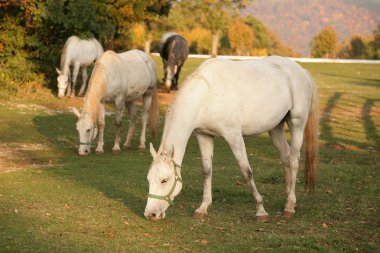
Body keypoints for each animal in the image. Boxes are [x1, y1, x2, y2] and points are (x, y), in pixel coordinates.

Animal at [145, 55, 318, 221]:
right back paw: (290, 199)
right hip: (275, 129)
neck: (207, 94)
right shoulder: (204, 135)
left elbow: (246, 171)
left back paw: (289, 207)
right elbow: (206, 171)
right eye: (148, 179)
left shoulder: (234, 136)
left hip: (297, 124)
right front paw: (203, 208)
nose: (150, 214)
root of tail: (301, 71)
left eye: (164, 180)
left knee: (294, 160)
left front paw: (260, 210)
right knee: (286, 157)